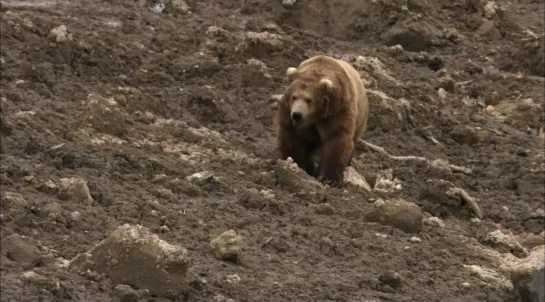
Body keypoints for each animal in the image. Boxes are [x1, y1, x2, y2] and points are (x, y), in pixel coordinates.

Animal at [274, 54, 368, 186]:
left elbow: (336, 138)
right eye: (294, 97)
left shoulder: (336, 111)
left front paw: (328, 178)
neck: (315, 116)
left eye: (309, 99)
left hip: (360, 118)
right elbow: (292, 137)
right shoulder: (288, 111)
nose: (297, 114)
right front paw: (296, 164)